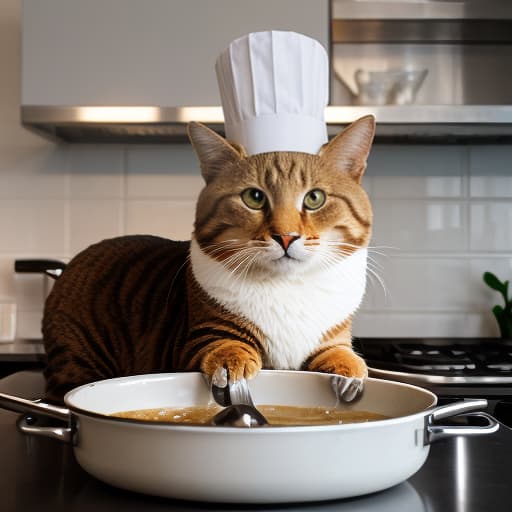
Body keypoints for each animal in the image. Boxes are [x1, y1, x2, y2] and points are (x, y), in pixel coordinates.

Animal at [43, 115, 376, 404]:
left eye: (314, 198)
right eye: (254, 197)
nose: (286, 236)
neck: (288, 287)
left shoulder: (333, 337)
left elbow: (342, 353)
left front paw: (349, 373)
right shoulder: (195, 340)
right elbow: (225, 346)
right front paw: (231, 364)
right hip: (77, 358)